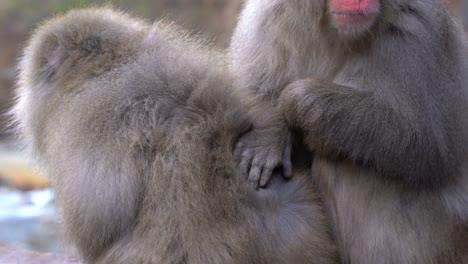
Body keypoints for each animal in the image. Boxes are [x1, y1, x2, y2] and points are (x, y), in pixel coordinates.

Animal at [232, 0, 468, 262]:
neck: (337, 35)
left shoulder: (420, 35)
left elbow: (426, 145)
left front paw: (300, 101)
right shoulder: (267, 21)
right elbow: (251, 90)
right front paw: (270, 133)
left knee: (346, 165)